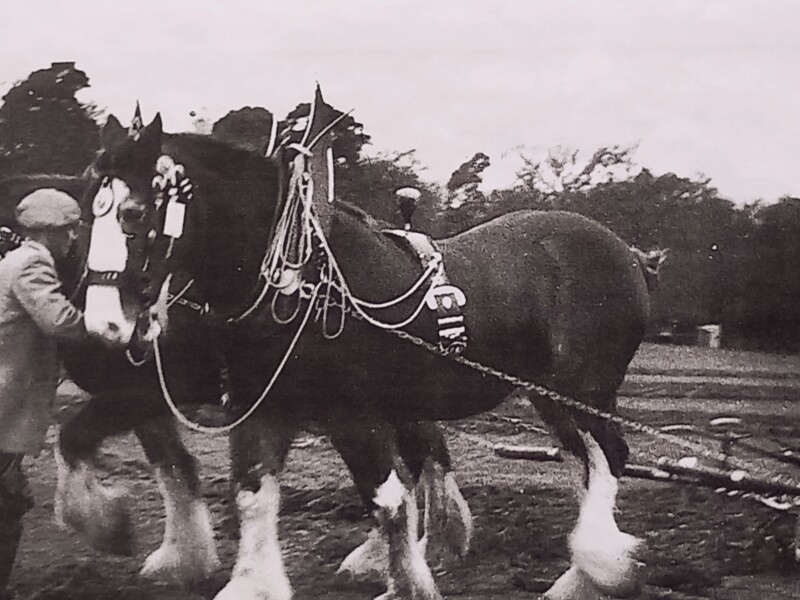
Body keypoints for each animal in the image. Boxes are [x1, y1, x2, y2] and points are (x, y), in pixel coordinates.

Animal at [0, 174, 472, 585]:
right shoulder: (148, 402)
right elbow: (173, 467)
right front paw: (183, 557)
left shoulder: (145, 391)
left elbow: (75, 438)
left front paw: (108, 527)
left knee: (417, 460)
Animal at [76, 87, 652, 600]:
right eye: (87, 212)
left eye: (133, 213)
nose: (103, 323)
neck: (299, 278)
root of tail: (625, 250)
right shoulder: (263, 406)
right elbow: (253, 497)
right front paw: (252, 584)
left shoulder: (354, 414)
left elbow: (388, 501)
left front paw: (407, 584)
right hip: (547, 396)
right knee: (585, 464)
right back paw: (581, 577)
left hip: (580, 390)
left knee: (607, 458)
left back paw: (598, 570)